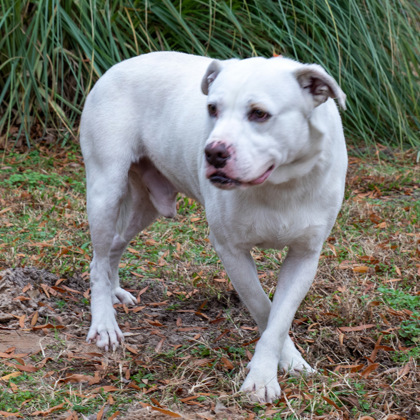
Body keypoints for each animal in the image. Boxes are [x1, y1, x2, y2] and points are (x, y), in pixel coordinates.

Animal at [79, 50, 348, 402]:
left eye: (259, 114)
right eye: (212, 109)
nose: (213, 152)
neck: (281, 185)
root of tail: (119, 65)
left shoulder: (305, 255)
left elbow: (279, 317)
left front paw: (287, 363)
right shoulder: (231, 250)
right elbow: (264, 308)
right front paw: (264, 377)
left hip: (145, 206)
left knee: (113, 247)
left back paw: (114, 293)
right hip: (105, 190)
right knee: (98, 259)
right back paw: (104, 323)